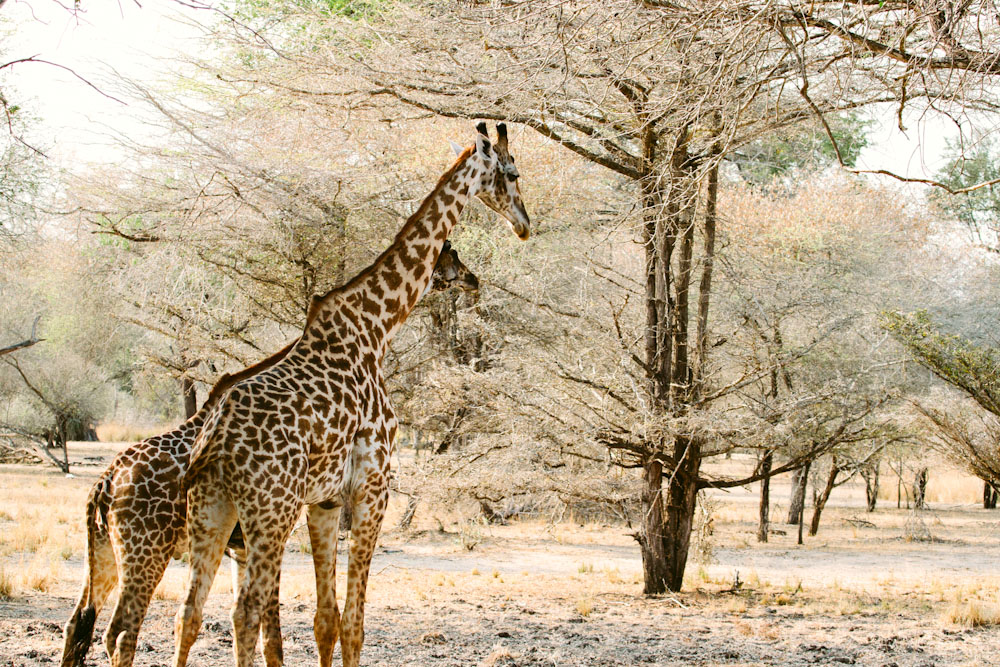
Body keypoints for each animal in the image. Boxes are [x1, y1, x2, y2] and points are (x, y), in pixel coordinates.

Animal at [58, 244, 480, 667]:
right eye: (453, 256)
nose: (472, 279)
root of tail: (105, 483)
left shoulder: (242, 548)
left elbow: (259, 628)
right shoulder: (266, 533)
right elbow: (271, 633)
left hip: (104, 551)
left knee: (79, 621)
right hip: (146, 552)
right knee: (119, 631)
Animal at [175, 121, 528, 667]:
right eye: (512, 173)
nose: (524, 225)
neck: (376, 326)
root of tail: (213, 443)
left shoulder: (322, 501)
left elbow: (326, 621)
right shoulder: (372, 485)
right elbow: (355, 625)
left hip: (213, 509)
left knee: (188, 614)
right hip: (268, 512)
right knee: (245, 613)